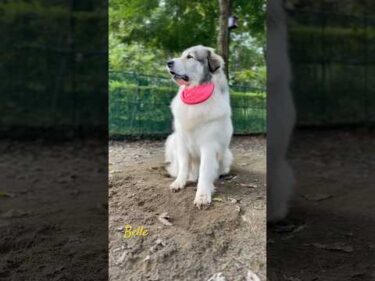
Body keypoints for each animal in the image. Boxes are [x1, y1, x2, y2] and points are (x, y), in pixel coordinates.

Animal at [166, 45, 234, 208]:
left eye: (190, 57)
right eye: (182, 55)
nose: (168, 62)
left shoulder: (208, 145)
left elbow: (205, 171)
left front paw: (202, 195)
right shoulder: (182, 141)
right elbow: (184, 165)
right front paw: (179, 183)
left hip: (226, 153)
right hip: (172, 140)